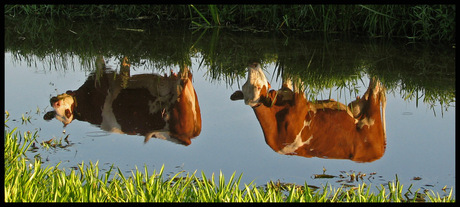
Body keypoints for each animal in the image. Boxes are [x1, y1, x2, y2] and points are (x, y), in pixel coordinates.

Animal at [232, 62, 386, 163]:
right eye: (245, 86)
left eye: (258, 87)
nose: (253, 64)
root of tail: (379, 152)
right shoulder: (287, 91)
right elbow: (288, 74)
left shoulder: (300, 102)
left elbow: (295, 74)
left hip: (372, 113)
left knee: (376, 83)